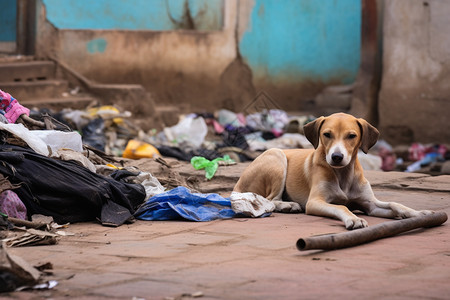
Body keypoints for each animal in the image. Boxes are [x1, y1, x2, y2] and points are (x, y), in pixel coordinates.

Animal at [232, 112, 432, 230]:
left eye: (351, 136)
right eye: (327, 134)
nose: (336, 157)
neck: (343, 174)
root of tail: (238, 184)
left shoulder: (370, 204)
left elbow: (395, 204)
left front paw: (420, 213)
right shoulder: (315, 202)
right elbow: (341, 206)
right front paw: (353, 219)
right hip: (276, 156)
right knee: (271, 199)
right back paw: (287, 205)